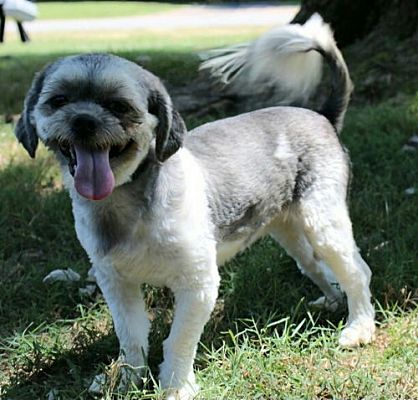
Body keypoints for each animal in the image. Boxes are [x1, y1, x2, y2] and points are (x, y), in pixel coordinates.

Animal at [15, 14, 376, 400]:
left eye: (119, 106)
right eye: (58, 100)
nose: (83, 120)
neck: (127, 206)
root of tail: (322, 116)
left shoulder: (198, 283)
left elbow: (178, 340)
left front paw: (175, 386)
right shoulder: (116, 281)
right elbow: (131, 338)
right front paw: (126, 380)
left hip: (322, 221)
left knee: (357, 271)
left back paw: (359, 327)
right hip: (290, 230)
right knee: (315, 266)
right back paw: (333, 300)